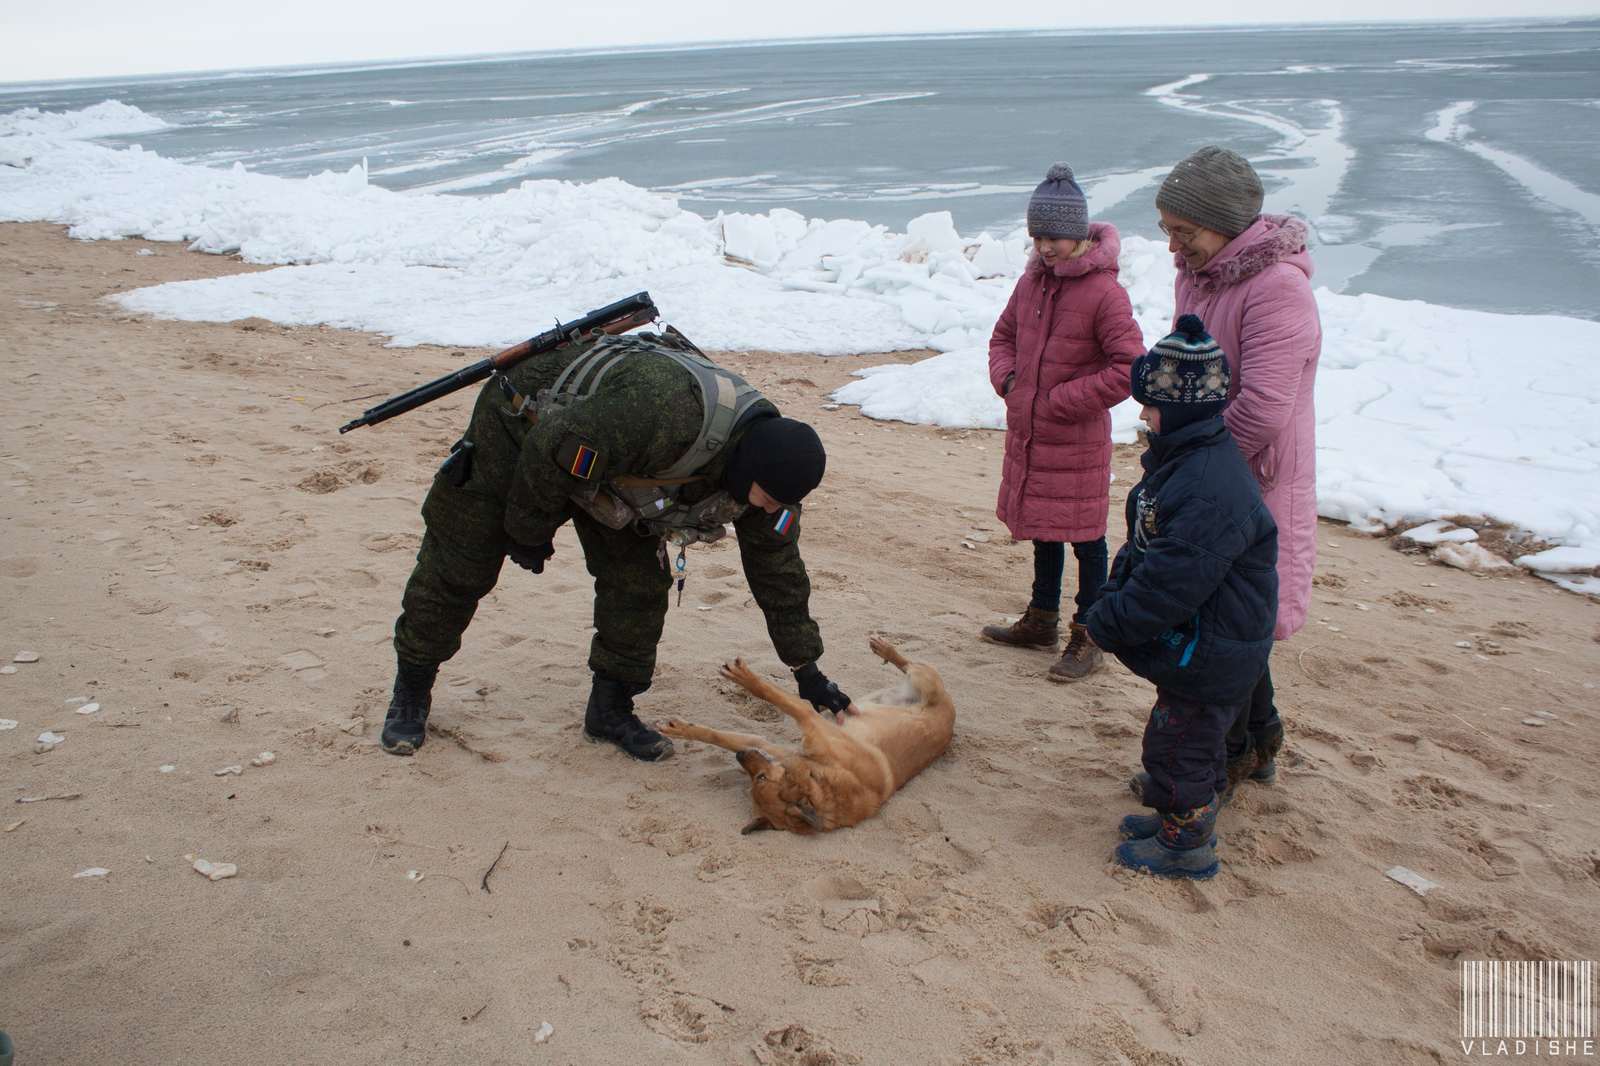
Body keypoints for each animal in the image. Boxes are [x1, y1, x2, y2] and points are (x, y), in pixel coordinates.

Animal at [659, 630, 953, 832]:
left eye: (760, 778)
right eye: (752, 782)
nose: (740, 757)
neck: (822, 779)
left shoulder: (809, 720)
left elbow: (775, 695)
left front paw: (745, 678)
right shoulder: (767, 746)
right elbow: (718, 735)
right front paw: (680, 729)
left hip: (924, 680)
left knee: (910, 664)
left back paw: (886, 648)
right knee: (907, 665)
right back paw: (883, 649)